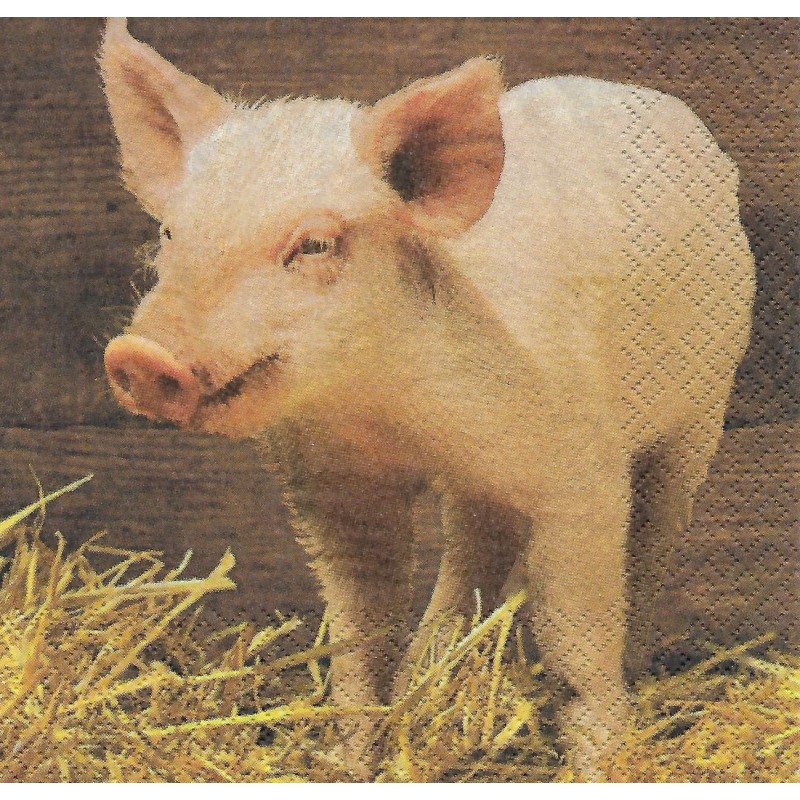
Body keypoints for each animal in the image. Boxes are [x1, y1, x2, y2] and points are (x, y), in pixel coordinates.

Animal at [98, 19, 755, 779]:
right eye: (170, 232)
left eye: (315, 243)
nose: (140, 355)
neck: (392, 417)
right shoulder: (333, 487)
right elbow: (359, 638)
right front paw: (351, 760)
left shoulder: (583, 475)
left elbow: (574, 637)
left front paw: (599, 761)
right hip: (490, 486)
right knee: (476, 542)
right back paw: (440, 665)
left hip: (703, 411)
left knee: (651, 543)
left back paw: (635, 665)